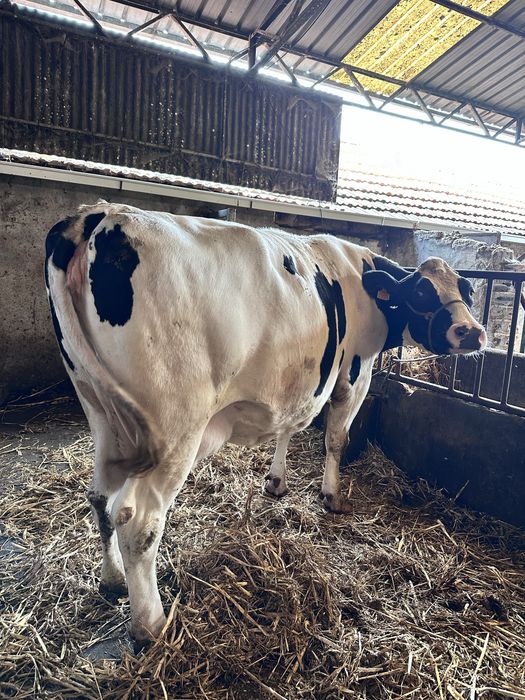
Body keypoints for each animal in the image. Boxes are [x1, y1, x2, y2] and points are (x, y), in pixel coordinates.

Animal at [44, 202, 486, 646]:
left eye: (467, 291)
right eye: (421, 292)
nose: (471, 332)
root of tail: (99, 214)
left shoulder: (298, 378)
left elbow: (288, 425)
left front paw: (276, 481)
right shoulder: (355, 371)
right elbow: (336, 439)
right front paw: (332, 496)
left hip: (101, 409)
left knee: (100, 496)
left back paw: (113, 579)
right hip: (174, 428)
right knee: (138, 520)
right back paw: (151, 623)